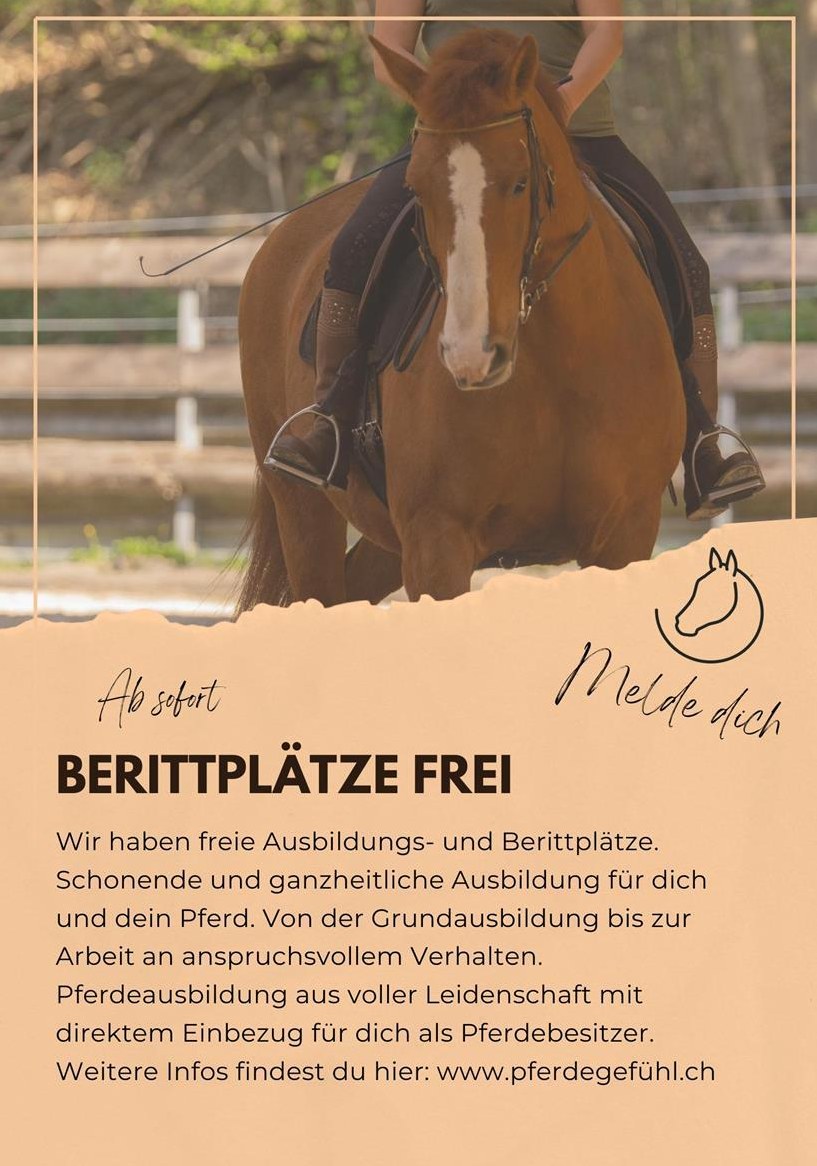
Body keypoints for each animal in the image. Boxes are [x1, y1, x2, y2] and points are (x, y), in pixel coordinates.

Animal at [236, 29, 685, 610]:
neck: (558, 366)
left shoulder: (625, 533)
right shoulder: (436, 540)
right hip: (303, 509)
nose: (473, 355)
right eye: (416, 188)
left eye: (520, 183)